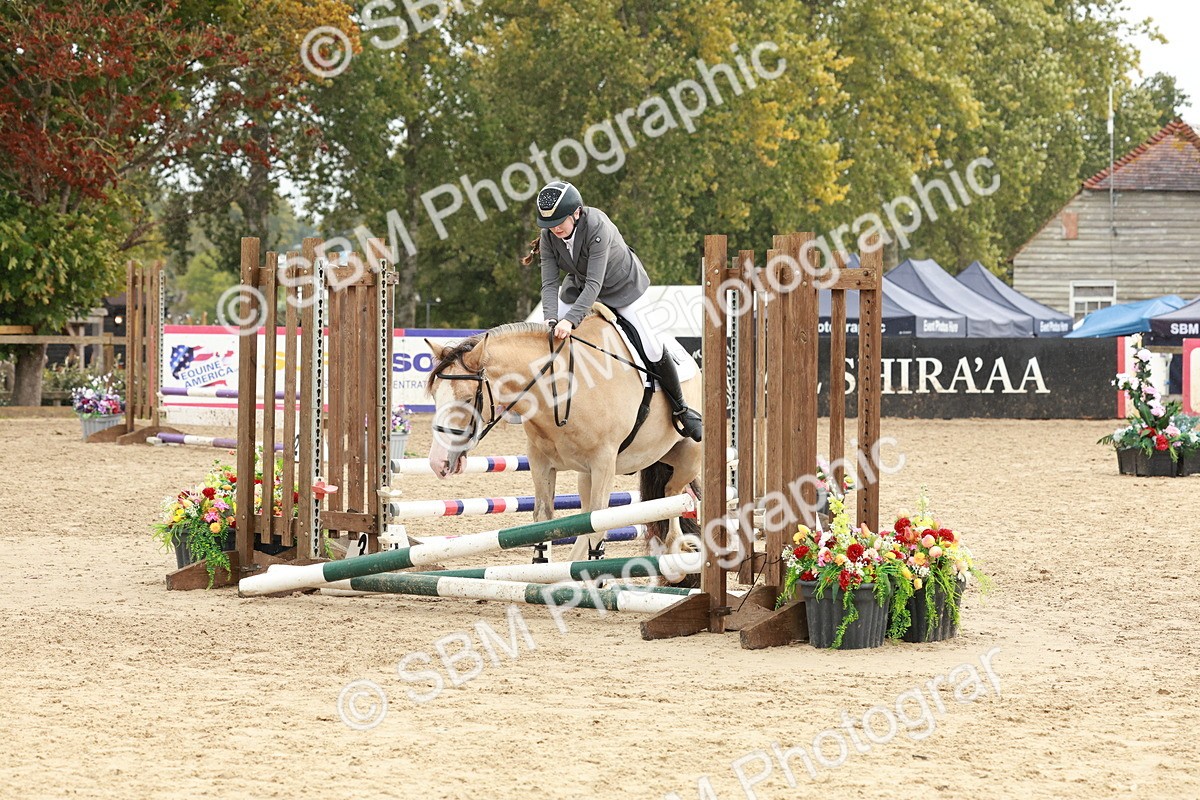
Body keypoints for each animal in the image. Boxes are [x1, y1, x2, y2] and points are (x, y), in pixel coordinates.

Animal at [425, 313, 702, 563]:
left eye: (467, 399)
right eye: (435, 396)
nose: (438, 463)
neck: (562, 391)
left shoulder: (604, 464)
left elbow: (598, 525)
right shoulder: (541, 462)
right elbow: (545, 521)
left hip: (688, 458)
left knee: (674, 494)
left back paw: (678, 548)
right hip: (591, 474)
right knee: (587, 517)